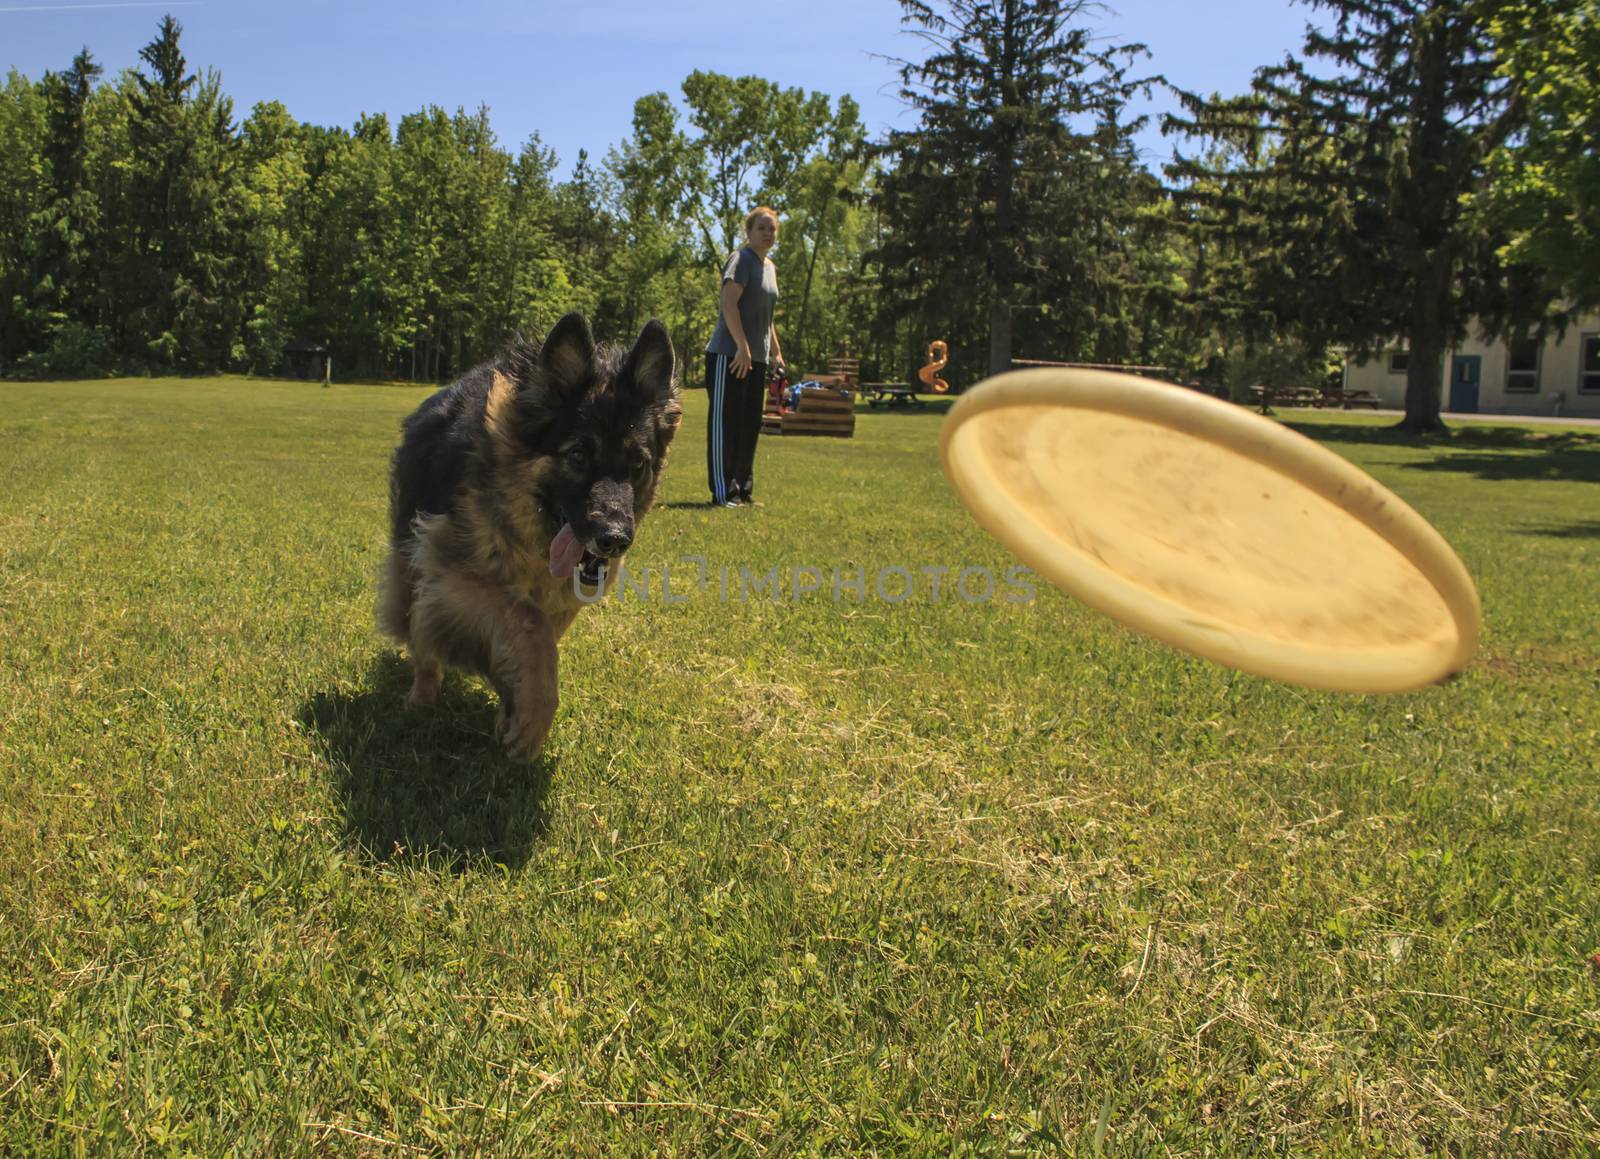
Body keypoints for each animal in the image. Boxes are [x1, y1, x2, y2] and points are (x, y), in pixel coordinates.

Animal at [379, 312, 681, 755]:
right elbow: (529, 623)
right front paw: (534, 717)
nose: (614, 538)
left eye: (638, 465)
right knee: (423, 640)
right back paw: (421, 696)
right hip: (414, 572)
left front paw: (517, 702)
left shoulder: (561, 602)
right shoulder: (453, 577)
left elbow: (538, 640)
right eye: (578, 456)